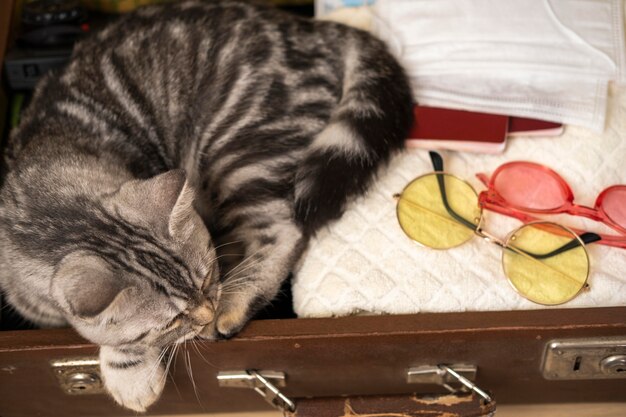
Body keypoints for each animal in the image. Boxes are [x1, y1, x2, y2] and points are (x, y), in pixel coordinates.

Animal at [0, 0, 412, 410]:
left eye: (207, 277)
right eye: (170, 321)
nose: (206, 311)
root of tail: (306, 27)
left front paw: (127, 373)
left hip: (240, 150)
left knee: (285, 229)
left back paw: (237, 300)